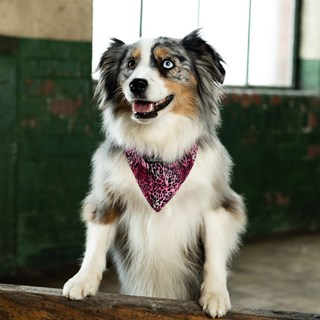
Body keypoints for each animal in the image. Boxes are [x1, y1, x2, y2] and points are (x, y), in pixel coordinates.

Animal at [63, 29, 248, 318]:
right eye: (130, 64)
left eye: (168, 64)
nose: (136, 84)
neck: (158, 149)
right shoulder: (106, 197)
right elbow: (95, 243)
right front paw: (82, 281)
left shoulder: (218, 203)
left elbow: (215, 253)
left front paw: (216, 295)